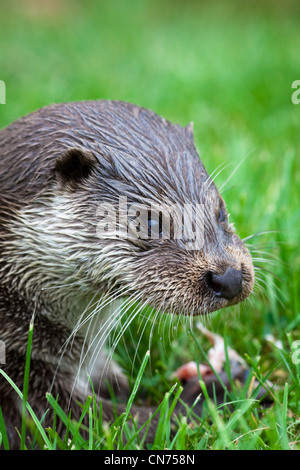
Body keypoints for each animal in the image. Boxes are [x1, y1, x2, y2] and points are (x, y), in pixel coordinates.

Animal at [0, 102, 253, 448]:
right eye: (151, 223)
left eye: (221, 211)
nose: (229, 278)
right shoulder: (22, 381)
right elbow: (112, 425)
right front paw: (213, 394)